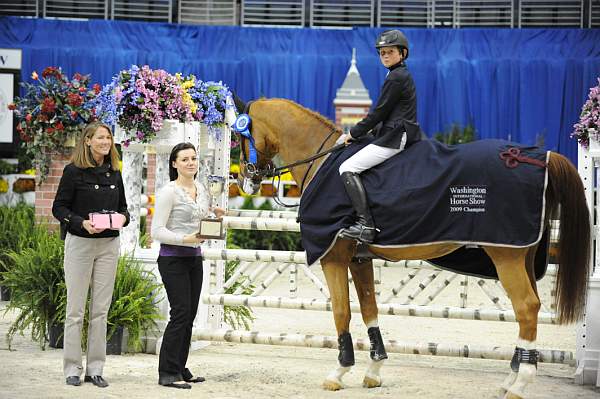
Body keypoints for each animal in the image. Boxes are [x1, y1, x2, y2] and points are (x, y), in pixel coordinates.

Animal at [232, 97, 588, 399]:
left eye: (240, 138)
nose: (246, 181)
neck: (323, 164)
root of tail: (537, 157)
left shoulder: (333, 257)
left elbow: (341, 312)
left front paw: (338, 373)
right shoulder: (359, 259)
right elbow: (370, 309)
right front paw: (374, 371)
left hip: (506, 255)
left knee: (526, 307)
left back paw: (519, 385)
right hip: (523, 254)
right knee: (530, 307)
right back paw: (510, 379)